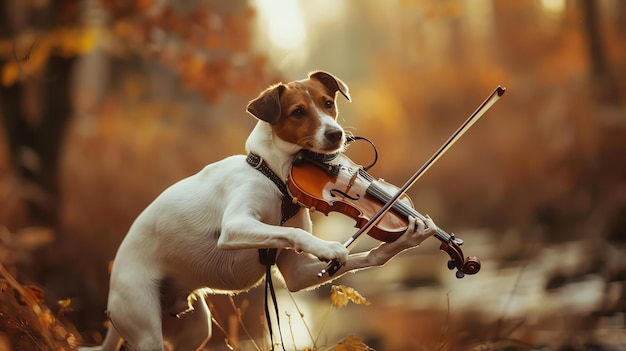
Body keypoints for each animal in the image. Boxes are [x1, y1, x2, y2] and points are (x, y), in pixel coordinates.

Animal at [79, 71, 434, 351]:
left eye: (328, 103)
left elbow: (358, 258)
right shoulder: (235, 226)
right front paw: (329, 247)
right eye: (298, 112)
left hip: (196, 329)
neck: (275, 176)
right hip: (144, 324)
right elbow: (287, 232)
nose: (336, 135)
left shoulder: (296, 274)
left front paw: (402, 241)